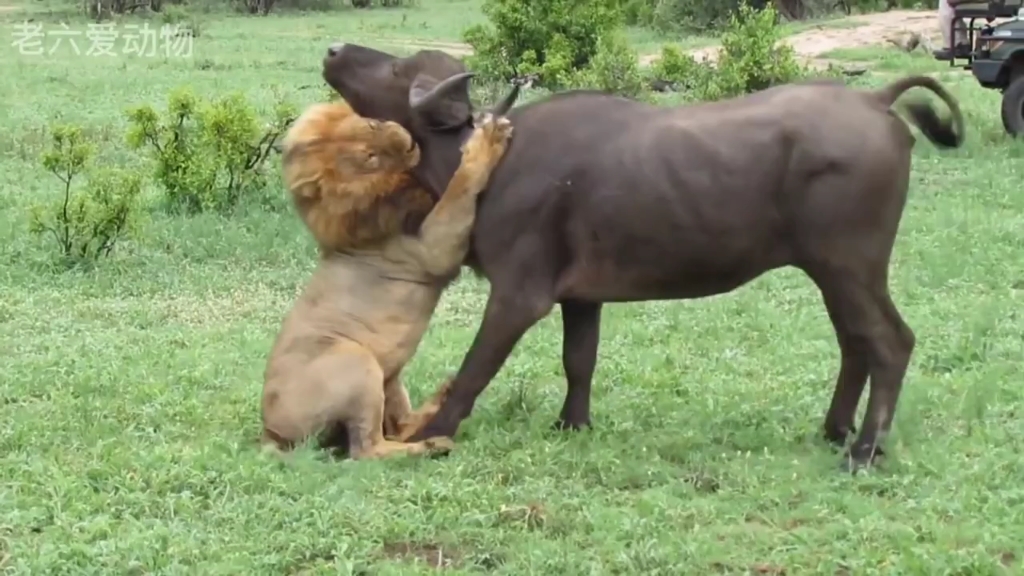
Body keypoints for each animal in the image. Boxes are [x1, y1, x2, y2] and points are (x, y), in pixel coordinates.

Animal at [256, 99, 512, 457]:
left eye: (372, 124)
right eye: (370, 157)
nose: (406, 141)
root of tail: (270, 432)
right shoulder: (433, 250)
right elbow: (458, 188)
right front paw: (486, 140)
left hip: (390, 378)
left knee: (399, 426)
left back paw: (442, 397)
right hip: (358, 364)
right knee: (367, 450)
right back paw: (432, 445)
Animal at [323, 43, 962, 467]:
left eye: (399, 68)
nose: (334, 51)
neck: (489, 161)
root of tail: (875, 100)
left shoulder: (518, 296)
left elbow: (475, 369)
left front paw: (432, 434)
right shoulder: (581, 299)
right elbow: (579, 360)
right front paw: (572, 424)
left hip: (850, 266)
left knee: (889, 342)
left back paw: (865, 449)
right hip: (834, 272)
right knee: (856, 344)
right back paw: (835, 430)